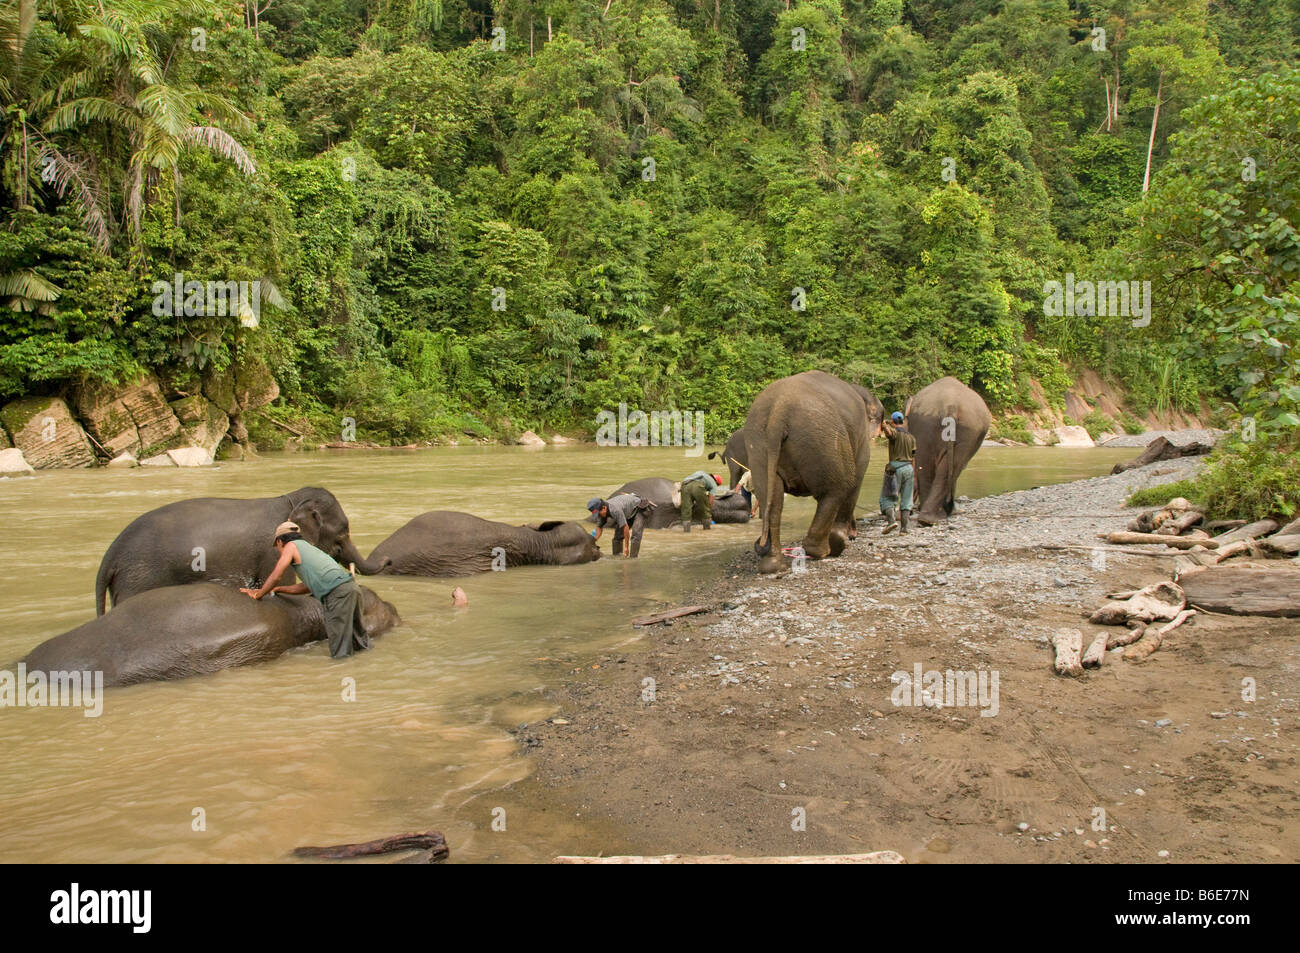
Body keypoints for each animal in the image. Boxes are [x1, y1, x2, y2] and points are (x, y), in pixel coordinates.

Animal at [94, 486, 387, 613]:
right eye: (343, 533)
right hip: (139, 577)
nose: (388, 560)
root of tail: (109, 556)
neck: (291, 498)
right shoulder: (273, 550)